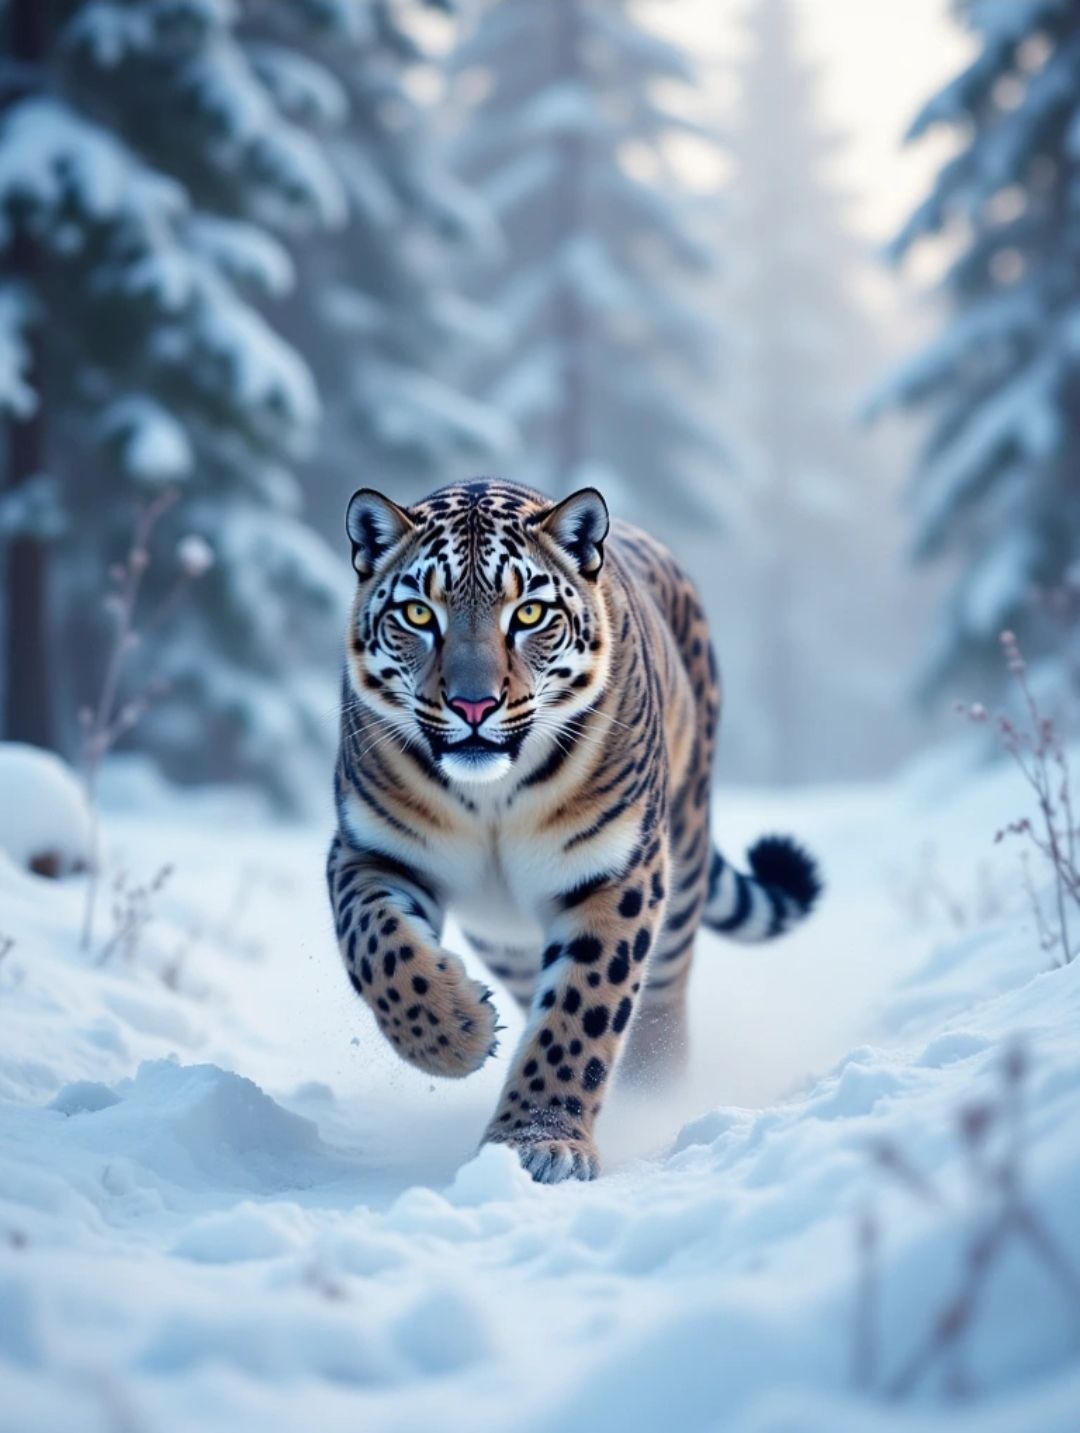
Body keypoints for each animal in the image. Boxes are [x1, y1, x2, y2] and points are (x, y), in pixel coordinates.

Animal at [327, 479, 821, 1184]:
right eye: (419, 615)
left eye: (529, 614)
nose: (473, 705)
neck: (492, 799)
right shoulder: (370, 853)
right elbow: (379, 951)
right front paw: (456, 1034)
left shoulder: (617, 871)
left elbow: (583, 1009)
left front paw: (538, 1142)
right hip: (502, 932)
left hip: (681, 861)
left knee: (661, 996)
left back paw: (655, 1096)